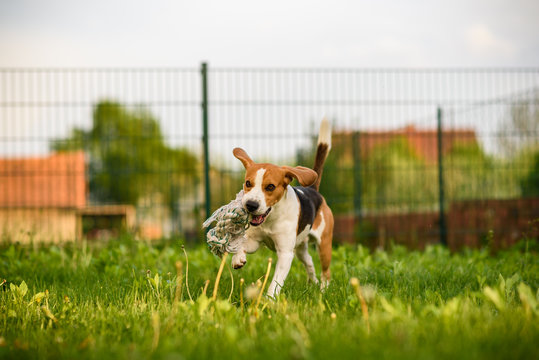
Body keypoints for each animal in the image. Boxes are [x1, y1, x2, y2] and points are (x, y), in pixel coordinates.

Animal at [231, 119, 334, 296]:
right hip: (300, 248)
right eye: (248, 183)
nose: (251, 205)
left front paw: (268, 299)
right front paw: (237, 257)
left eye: (271, 187)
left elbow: (275, 282)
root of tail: (314, 190)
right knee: (309, 261)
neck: (271, 218)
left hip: (324, 245)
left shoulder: (285, 253)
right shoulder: (254, 241)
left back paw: (323, 290)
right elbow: (242, 245)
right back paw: (313, 284)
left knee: (326, 272)